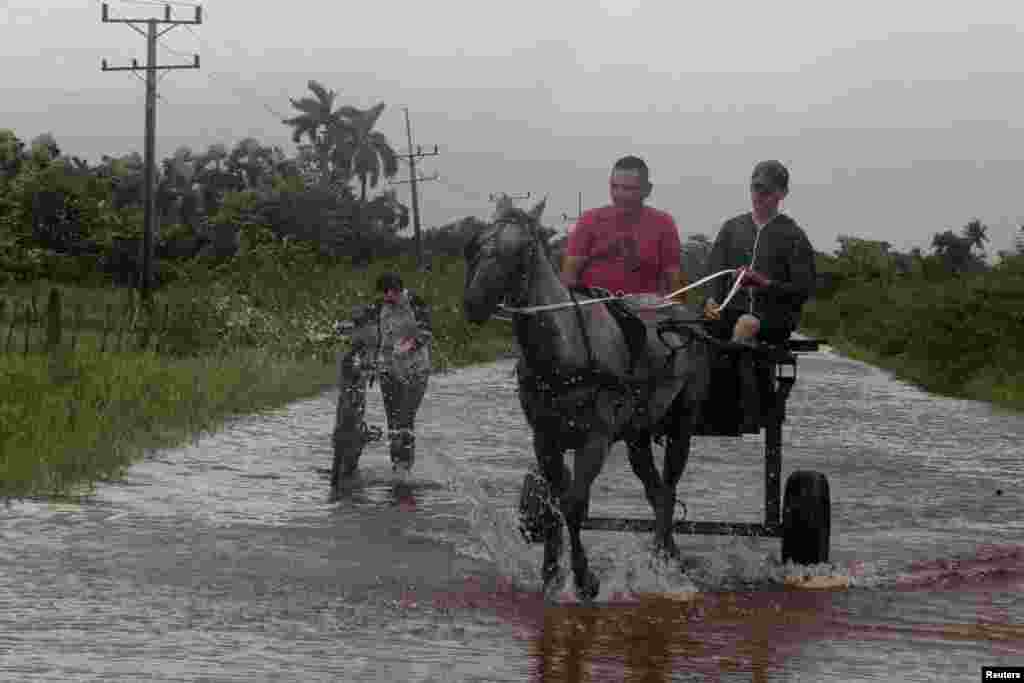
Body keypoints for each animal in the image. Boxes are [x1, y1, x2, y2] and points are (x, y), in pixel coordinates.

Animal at [464, 196, 712, 598]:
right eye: (475, 244)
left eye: (523, 249)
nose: (474, 302)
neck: (564, 352)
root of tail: (680, 313)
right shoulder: (545, 439)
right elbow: (552, 506)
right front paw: (551, 574)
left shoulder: (595, 439)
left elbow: (575, 505)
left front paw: (584, 579)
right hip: (636, 432)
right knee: (657, 491)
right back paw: (666, 555)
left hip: (682, 422)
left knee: (670, 486)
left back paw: (664, 560)